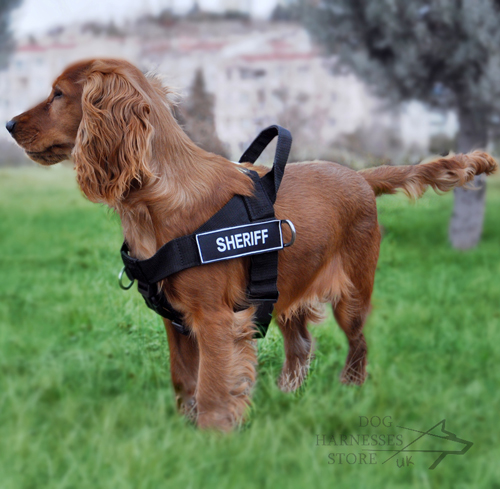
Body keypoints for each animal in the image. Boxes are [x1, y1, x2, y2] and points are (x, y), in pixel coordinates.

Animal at [5, 59, 498, 428]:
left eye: (57, 94)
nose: (8, 123)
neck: (156, 199)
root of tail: (360, 175)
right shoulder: (175, 322)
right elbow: (183, 381)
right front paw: (183, 431)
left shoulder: (215, 319)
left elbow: (211, 388)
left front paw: (212, 441)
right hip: (286, 292)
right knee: (301, 347)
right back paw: (287, 396)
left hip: (353, 293)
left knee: (359, 344)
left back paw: (349, 391)